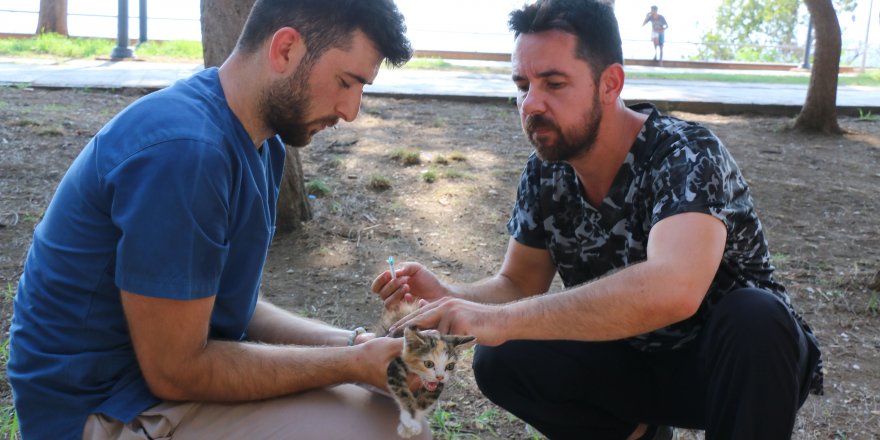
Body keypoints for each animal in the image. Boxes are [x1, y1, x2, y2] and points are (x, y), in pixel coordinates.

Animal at [378, 302, 474, 436]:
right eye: (428, 364)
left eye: (450, 366)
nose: (439, 377)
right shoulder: (395, 364)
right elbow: (402, 391)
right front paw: (408, 418)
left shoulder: (439, 385)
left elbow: (426, 400)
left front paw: (413, 423)